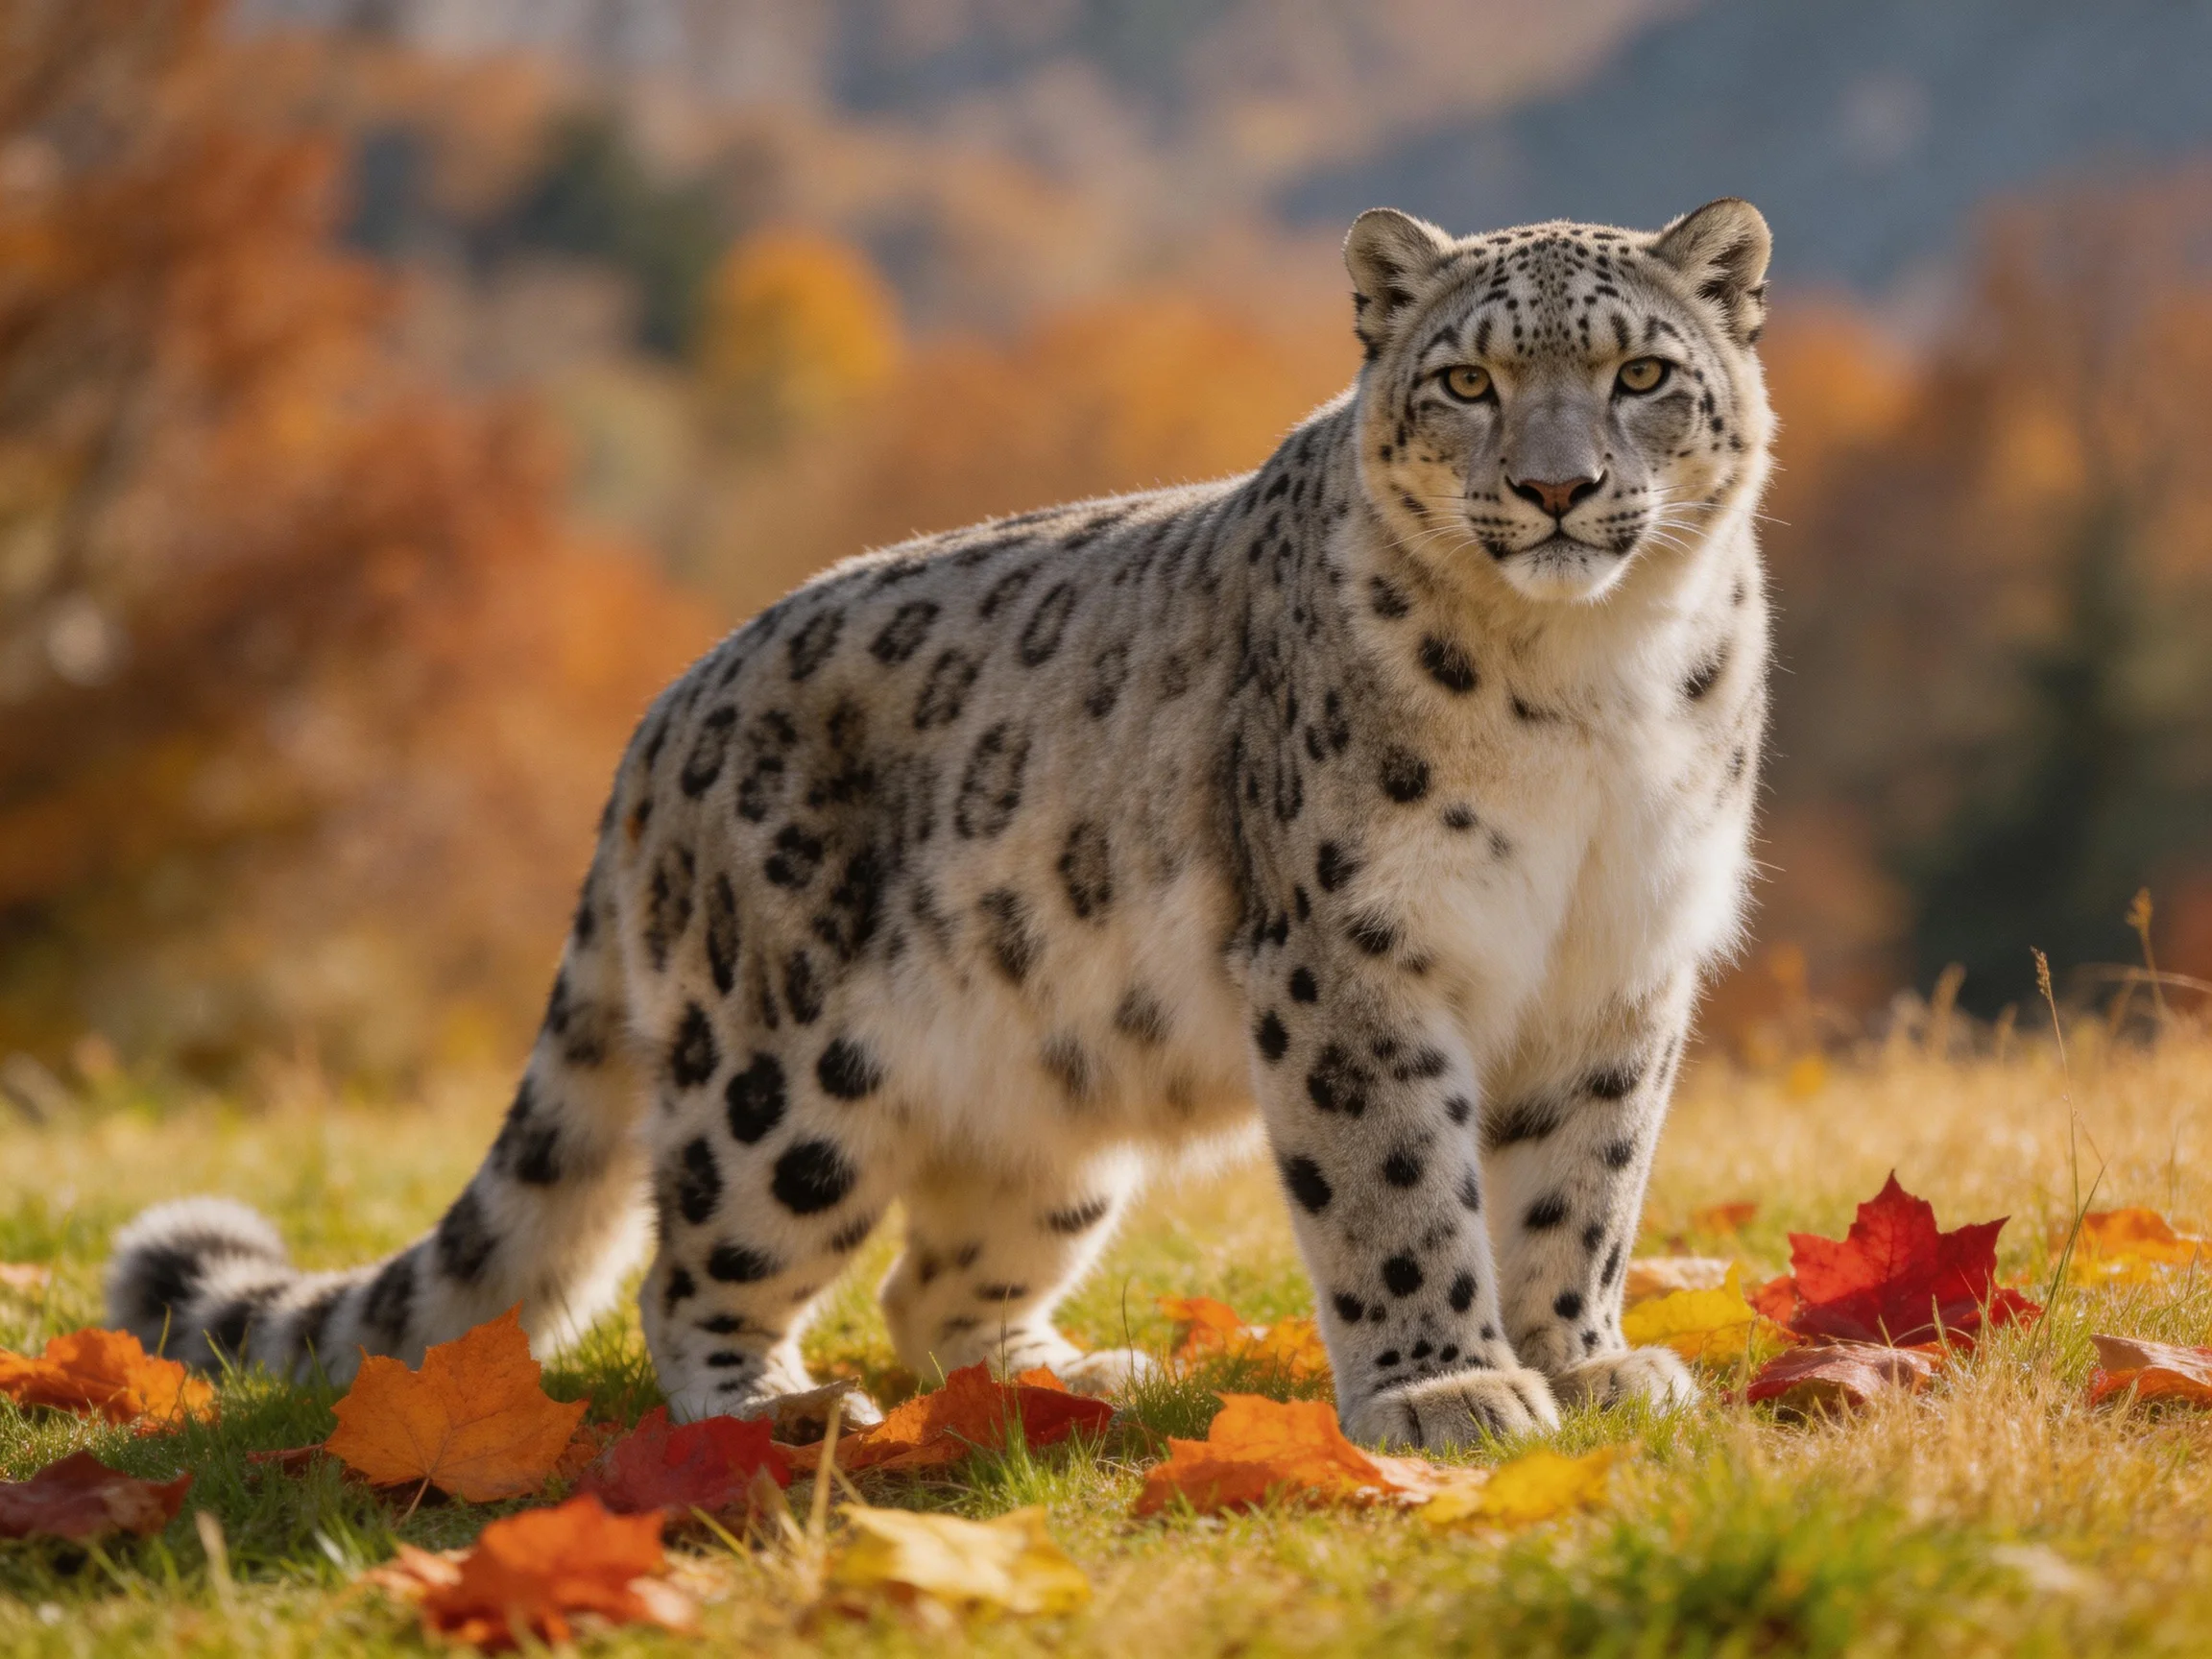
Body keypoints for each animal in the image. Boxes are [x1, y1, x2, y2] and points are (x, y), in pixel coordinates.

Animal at [108, 197, 1775, 1450]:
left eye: (1640, 375)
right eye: (1468, 385)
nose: (1557, 490)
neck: (1588, 686)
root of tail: (662, 718)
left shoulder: (1618, 965)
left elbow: (1582, 1182)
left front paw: (1583, 1362)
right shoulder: (1352, 953)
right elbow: (1398, 1182)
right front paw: (1449, 1387)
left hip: (1053, 1102)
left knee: (936, 1286)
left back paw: (1071, 1376)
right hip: (779, 1088)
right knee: (692, 1266)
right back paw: (776, 1411)